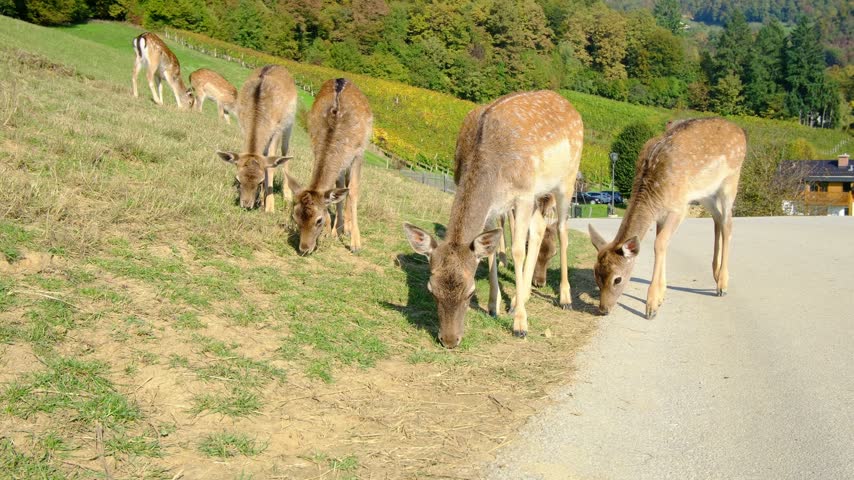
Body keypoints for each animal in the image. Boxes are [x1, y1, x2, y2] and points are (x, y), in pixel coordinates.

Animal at [216, 65, 297, 212]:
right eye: (238, 180)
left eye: (259, 181)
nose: (246, 205)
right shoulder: (243, 127)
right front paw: (262, 201)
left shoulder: (277, 130)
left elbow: (271, 165)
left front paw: (270, 207)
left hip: (289, 123)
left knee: (285, 152)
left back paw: (287, 198)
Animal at [287, 78, 372, 255]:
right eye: (295, 217)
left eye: (318, 221)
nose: (304, 248)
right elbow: (336, 190)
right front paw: (331, 231)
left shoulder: (358, 154)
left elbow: (353, 191)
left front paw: (355, 244)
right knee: (342, 185)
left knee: (349, 187)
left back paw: (348, 229)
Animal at [404, 90, 583, 349]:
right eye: (431, 290)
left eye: (470, 292)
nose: (449, 340)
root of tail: (568, 104)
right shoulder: (495, 206)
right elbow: (489, 249)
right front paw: (493, 306)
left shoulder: (523, 193)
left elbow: (517, 250)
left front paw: (520, 325)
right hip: (539, 195)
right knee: (539, 228)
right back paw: (521, 298)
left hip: (566, 181)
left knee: (561, 229)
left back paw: (564, 298)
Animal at [588, 117, 746, 319]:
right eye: (595, 274)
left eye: (617, 279)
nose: (603, 309)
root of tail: (740, 131)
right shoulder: (661, 214)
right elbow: (662, 242)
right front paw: (661, 296)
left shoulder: (679, 207)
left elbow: (660, 243)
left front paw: (651, 306)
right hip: (705, 192)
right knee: (717, 218)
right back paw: (715, 273)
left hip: (731, 180)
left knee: (728, 223)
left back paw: (722, 285)